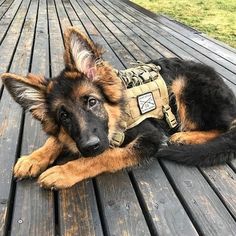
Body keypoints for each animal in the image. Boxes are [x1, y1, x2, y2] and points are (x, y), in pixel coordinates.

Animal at [1, 27, 236, 189]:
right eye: (63, 115)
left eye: (92, 102)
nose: (88, 146)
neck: (119, 113)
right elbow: (56, 139)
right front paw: (33, 158)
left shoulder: (151, 138)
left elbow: (106, 156)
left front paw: (63, 171)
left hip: (182, 85)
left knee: (223, 126)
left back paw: (185, 137)